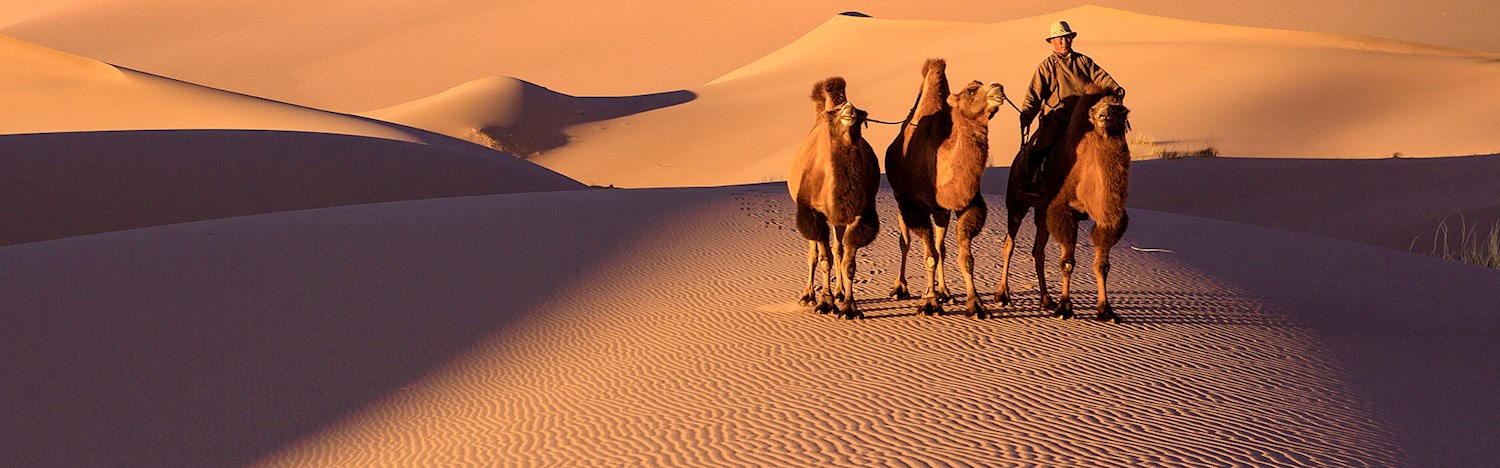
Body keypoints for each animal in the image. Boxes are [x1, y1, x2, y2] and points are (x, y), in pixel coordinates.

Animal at [786, 76, 876, 319]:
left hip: (838, 220)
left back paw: (839, 293)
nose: (849, 110)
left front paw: (849, 306)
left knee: (838, 250)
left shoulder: (860, 214)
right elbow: (823, 259)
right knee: (813, 253)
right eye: (835, 111)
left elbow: (848, 262)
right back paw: (808, 295)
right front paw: (825, 303)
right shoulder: (812, 213)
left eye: (861, 111)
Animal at [876, 59, 1008, 318]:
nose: (998, 87)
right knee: (906, 242)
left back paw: (944, 292)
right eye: (970, 91)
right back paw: (901, 288)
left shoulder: (966, 203)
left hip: (940, 212)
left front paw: (975, 304)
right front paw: (928, 302)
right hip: (901, 201)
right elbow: (928, 256)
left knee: (941, 247)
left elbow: (964, 257)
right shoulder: (914, 205)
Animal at [1002, 84, 1128, 324]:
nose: (1103, 117)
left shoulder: (1106, 218)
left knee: (1038, 251)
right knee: (1009, 245)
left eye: (1120, 109)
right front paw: (1065, 307)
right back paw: (1002, 295)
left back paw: (1046, 299)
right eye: (1094, 110)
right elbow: (1067, 262)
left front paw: (1106, 310)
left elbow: (1102, 265)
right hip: (1016, 203)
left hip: (1041, 212)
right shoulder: (1062, 209)